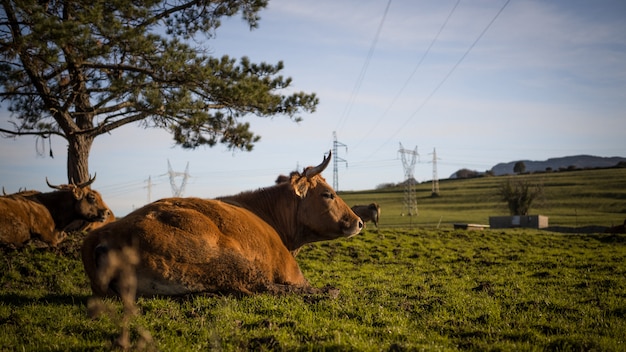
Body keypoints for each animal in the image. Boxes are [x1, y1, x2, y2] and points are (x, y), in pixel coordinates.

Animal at [81, 151, 364, 296]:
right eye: (328, 194)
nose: (359, 222)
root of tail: (106, 234)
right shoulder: (290, 272)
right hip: (227, 261)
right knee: (257, 286)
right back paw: (328, 291)